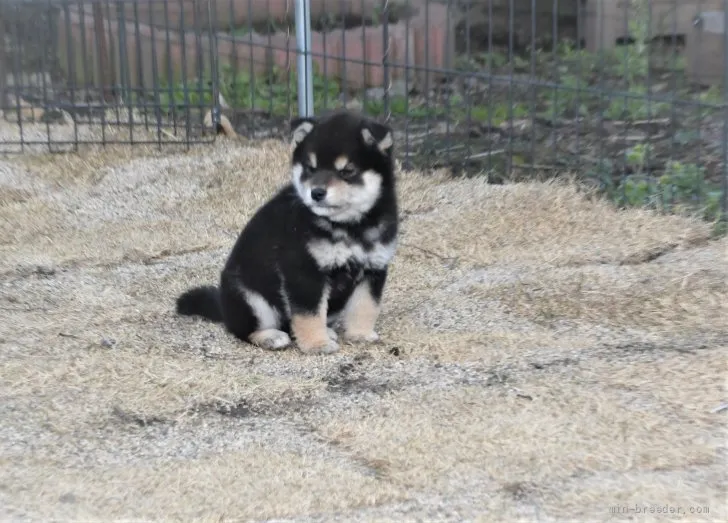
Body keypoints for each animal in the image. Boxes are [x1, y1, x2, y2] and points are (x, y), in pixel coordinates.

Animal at [177, 111, 400, 356]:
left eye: (347, 171)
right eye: (311, 168)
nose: (316, 193)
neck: (349, 226)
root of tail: (223, 308)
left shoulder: (373, 268)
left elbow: (365, 306)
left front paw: (360, 334)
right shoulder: (304, 271)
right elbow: (308, 314)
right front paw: (316, 344)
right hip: (251, 299)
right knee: (244, 330)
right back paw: (270, 337)